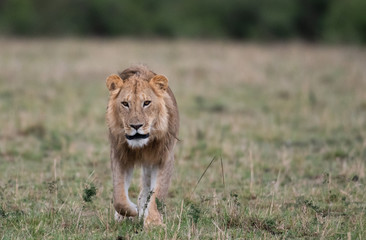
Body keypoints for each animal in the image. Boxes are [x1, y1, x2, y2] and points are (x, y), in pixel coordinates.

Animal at [105, 65, 179, 227]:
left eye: (146, 103)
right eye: (125, 104)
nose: (136, 126)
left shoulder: (164, 158)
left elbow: (158, 193)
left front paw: (153, 222)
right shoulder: (120, 156)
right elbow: (119, 196)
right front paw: (131, 211)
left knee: (146, 188)